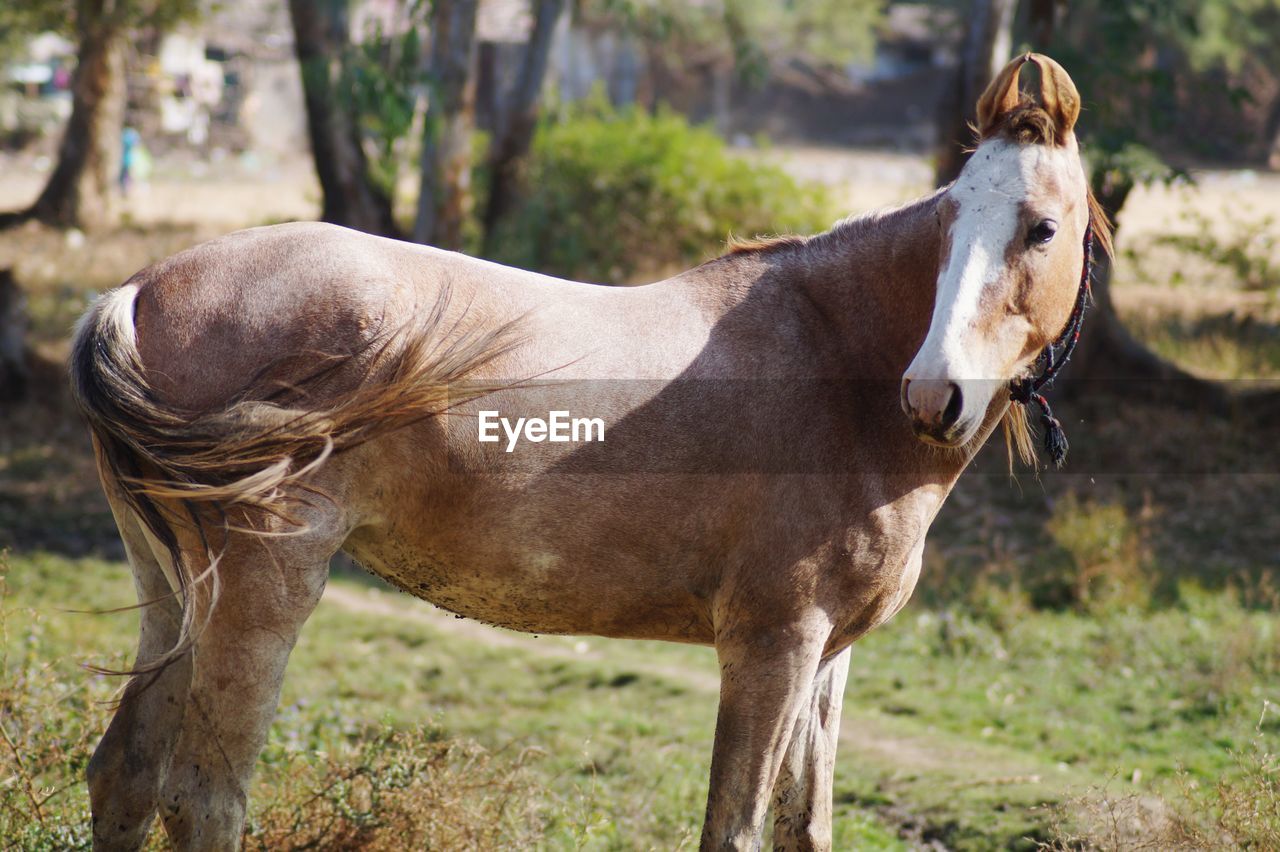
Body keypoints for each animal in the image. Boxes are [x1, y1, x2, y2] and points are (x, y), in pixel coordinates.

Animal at [72, 54, 1111, 849]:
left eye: (1040, 229)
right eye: (947, 225)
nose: (934, 394)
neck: (833, 362)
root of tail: (136, 289)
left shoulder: (826, 660)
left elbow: (800, 827)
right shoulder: (773, 648)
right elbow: (733, 829)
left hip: (174, 597)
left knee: (126, 775)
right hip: (262, 595)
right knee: (203, 798)